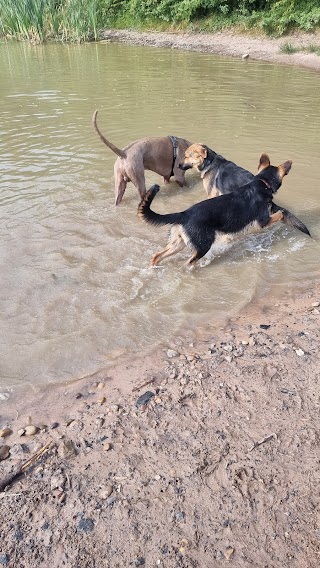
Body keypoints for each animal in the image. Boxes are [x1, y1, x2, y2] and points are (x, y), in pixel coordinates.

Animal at [138, 151, 292, 266]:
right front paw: (283, 213)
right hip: (202, 246)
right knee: (187, 263)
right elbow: (280, 214)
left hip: (179, 243)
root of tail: (184, 213)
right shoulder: (263, 221)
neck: (262, 182)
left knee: (157, 256)